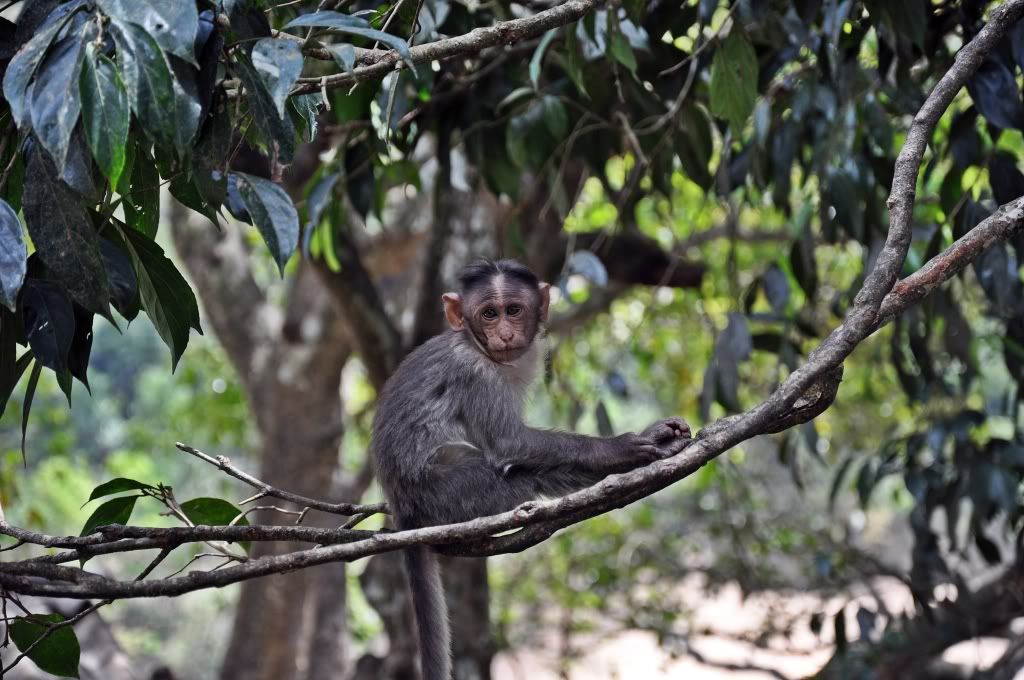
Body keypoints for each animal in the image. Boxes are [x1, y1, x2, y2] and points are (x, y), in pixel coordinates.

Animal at [372, 258, 692, 675]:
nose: (505, 333)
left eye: (513, 310)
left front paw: (654, 440)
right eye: (489, 314)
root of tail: (402, 506)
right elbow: (509, 443)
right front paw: (620, 448)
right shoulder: (475, 372)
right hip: (445, 490)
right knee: (514, 479)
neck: (475, 344)